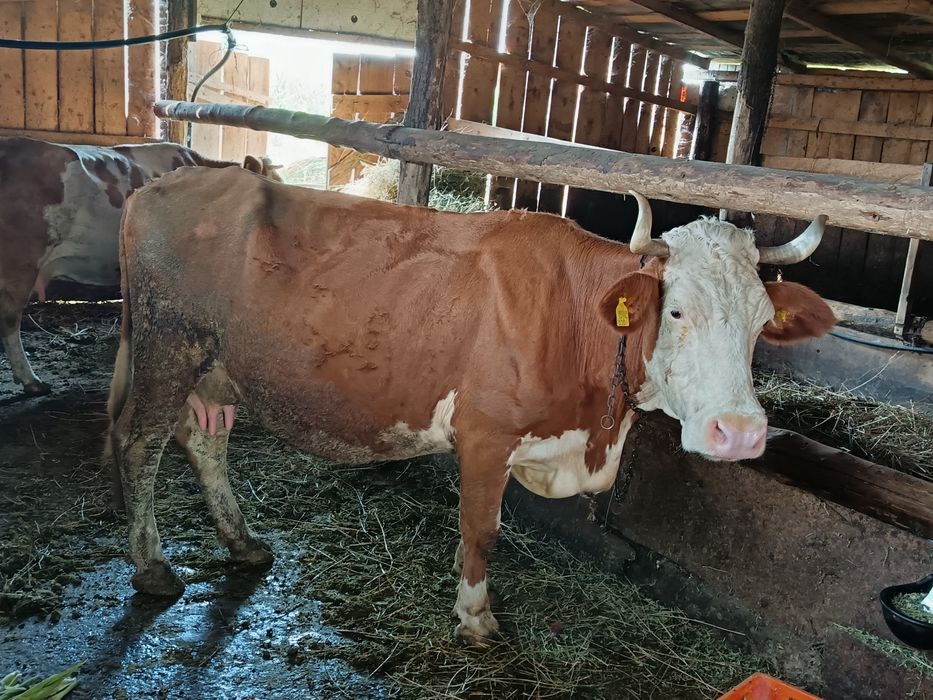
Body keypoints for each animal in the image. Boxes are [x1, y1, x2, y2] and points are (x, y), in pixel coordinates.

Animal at [106, 165, 835, 642]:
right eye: (676, 310)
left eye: (762, 322)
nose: (739, 433)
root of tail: (165, 182)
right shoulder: (486, 434)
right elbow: (482, 529)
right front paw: (475, 615)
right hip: (167, 347)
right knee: (139, 445)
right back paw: (153, 568)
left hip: (213, 369)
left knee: (204, 442)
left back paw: (243, 542)